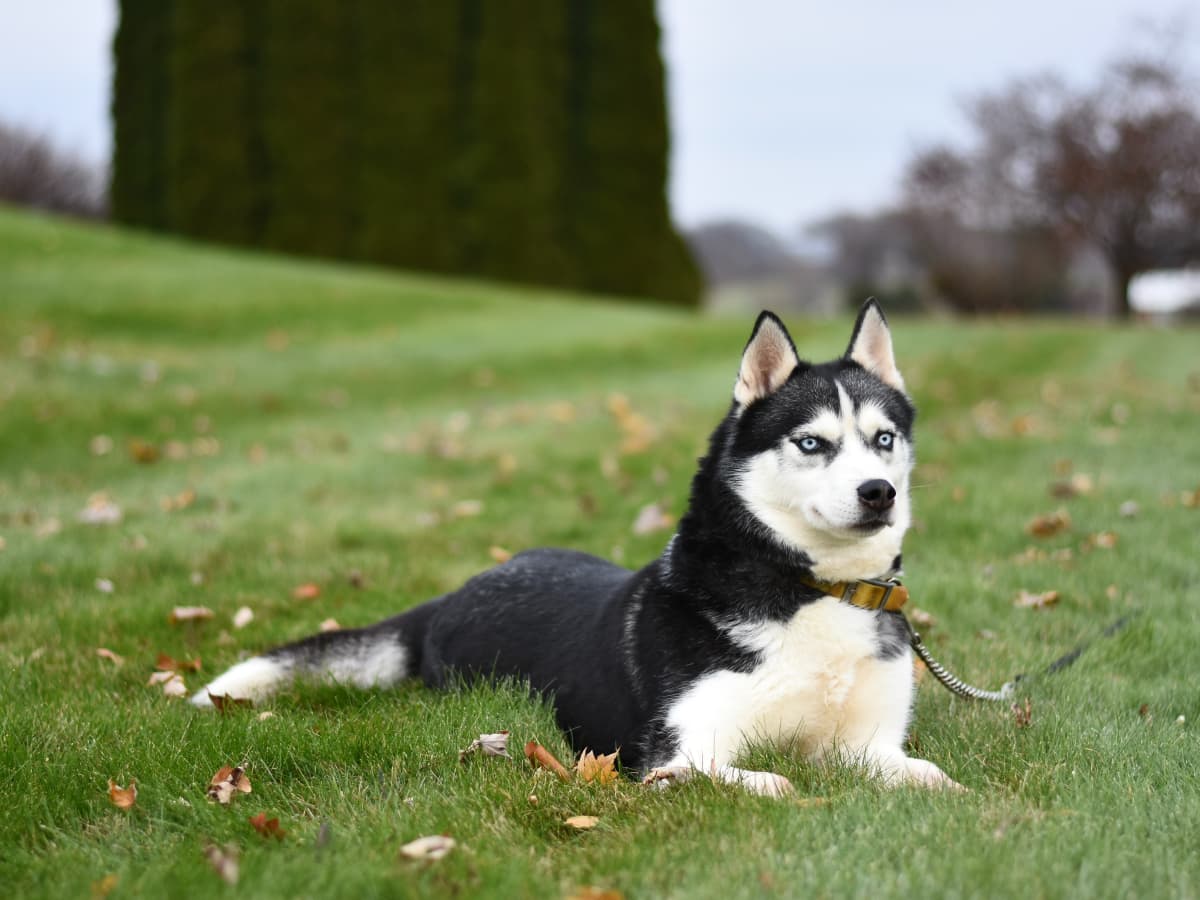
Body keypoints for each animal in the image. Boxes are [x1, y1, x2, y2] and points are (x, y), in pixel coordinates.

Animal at [199, 301, 964, 796]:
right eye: (811, 443)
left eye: (883, 439)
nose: (877, 493)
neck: (813, 588)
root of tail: (456, 592)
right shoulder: (678, 752)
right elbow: (773, 781)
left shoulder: (866, 744)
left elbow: (929, 775)